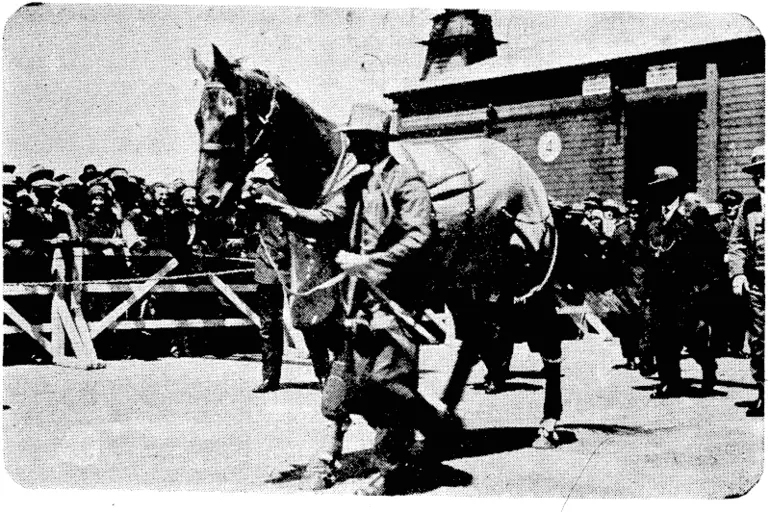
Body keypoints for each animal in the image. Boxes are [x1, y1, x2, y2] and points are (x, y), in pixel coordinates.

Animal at [190, 46, 568, 442]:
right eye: (198, 119)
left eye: (232, 115)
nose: (208, 200)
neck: (332, 173)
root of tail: (528, 178)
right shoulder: (320, 297)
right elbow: (332, 356)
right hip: (469, 283)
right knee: (475, 338)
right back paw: (446, 412)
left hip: (525, 280)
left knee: (546, 340)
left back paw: (547, 422)